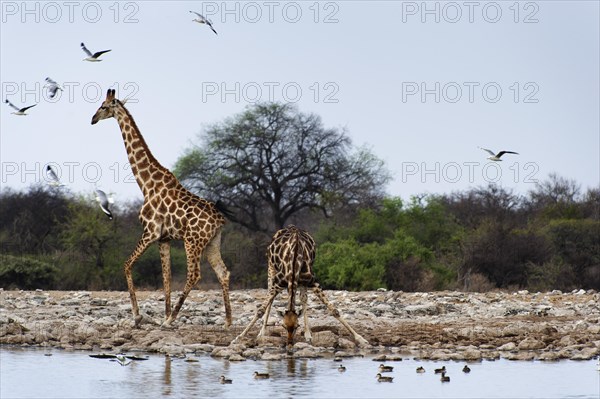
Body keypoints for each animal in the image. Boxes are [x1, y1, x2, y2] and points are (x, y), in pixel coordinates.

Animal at [91, 90, 232, 328]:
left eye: (103, 106)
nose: (92, 119)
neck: (146, 184)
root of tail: (220, 220)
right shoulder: (164, 238)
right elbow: (166, 278)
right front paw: (162, 315)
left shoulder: (150, 231)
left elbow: (127, 264)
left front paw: (138, 316)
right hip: (212, 242)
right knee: (223, 272)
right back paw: (228, 321)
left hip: (192, 241)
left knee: (194, 274)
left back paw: (173, 318)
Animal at [231, 227, 368, 348]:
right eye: (283, 326)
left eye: (297, 326)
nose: (290, 344)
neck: (294, 261)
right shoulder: (278, 283)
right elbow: (260, 310)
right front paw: (238, 338)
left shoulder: (313, 282)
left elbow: (334, 310)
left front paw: (361, 338)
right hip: (271, 268)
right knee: (271, 301)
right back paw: (262, 332)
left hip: (301, 283)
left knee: (303, 299)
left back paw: (308, 334)